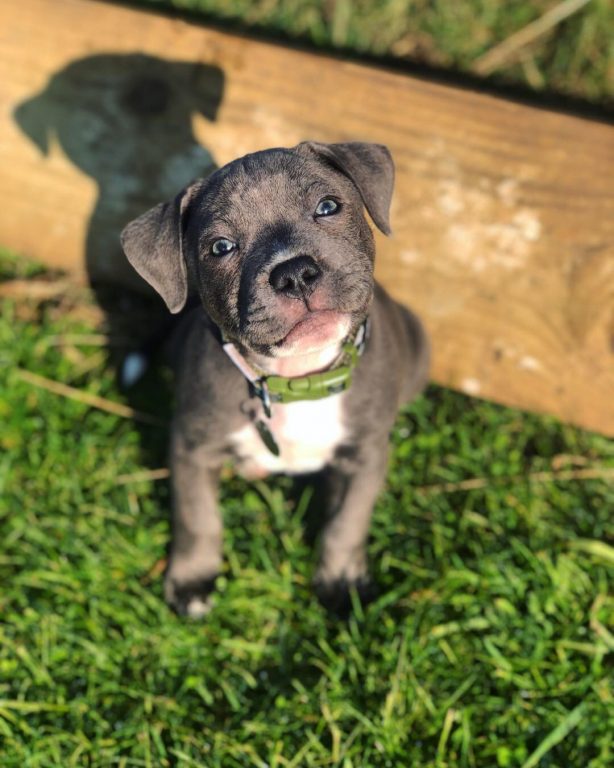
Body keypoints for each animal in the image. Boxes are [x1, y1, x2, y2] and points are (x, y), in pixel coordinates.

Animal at [120, 140, 428, 616]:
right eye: (221, 247)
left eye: (328, 207)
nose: (294, 272)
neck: (296, 378)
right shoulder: (192, 447)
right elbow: (197, 517)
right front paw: (192, 580)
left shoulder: (365, 455)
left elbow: (347, 522)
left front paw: (341, 581)